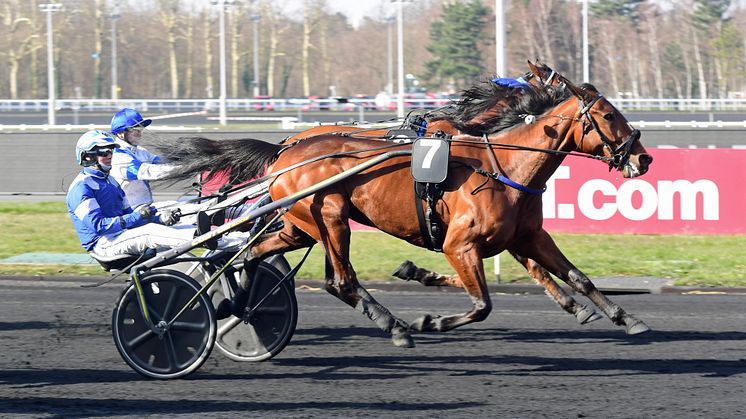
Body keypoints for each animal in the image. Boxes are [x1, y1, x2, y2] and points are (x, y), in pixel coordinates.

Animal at [153, 78, 652, 348]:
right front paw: (429, 318)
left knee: (248, 255)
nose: (643, 158)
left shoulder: (527, 236)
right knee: (340, 280)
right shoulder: (459, 244)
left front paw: (626, 318)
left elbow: (577, 277)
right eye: (609, 115)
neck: (502, 167)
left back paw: (235, 301)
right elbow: (482, 304)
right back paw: (394, 326)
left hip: (300, 225)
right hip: (329, 215)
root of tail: (284, 151)